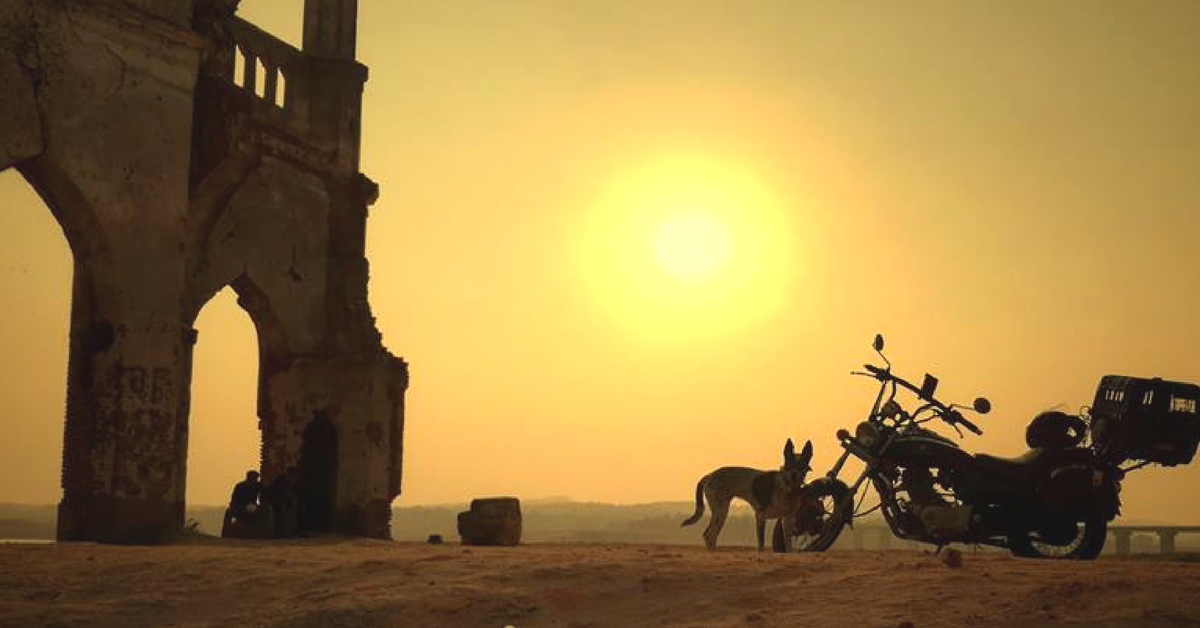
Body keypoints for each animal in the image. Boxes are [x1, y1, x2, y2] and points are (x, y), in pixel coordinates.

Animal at [681, 439, 811, 552]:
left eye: (802, 465)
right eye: (789, 464)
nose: (794, 475)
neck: (786, 486)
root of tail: (709, 475)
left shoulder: (788, 519)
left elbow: (788, 546)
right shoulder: (760, 516)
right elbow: (761, 545)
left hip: (721, 512)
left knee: (711, 535)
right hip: (721, 511)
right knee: (709, 535)